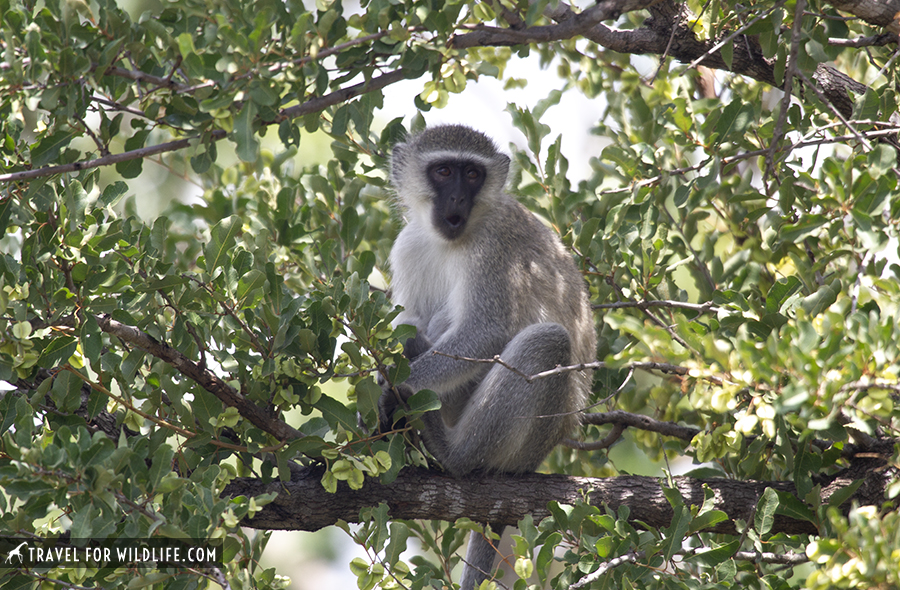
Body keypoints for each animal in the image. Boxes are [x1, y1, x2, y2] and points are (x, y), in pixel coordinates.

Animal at [382, 125, 596, 590]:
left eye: (473, 174)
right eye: (444, 171)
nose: (458, 199)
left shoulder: (493, 247)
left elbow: (486, 331)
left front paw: (399, 387)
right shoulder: (407, 246)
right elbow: (405, 323)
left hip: (531, 440)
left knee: (547, 341)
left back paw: (453, 454)